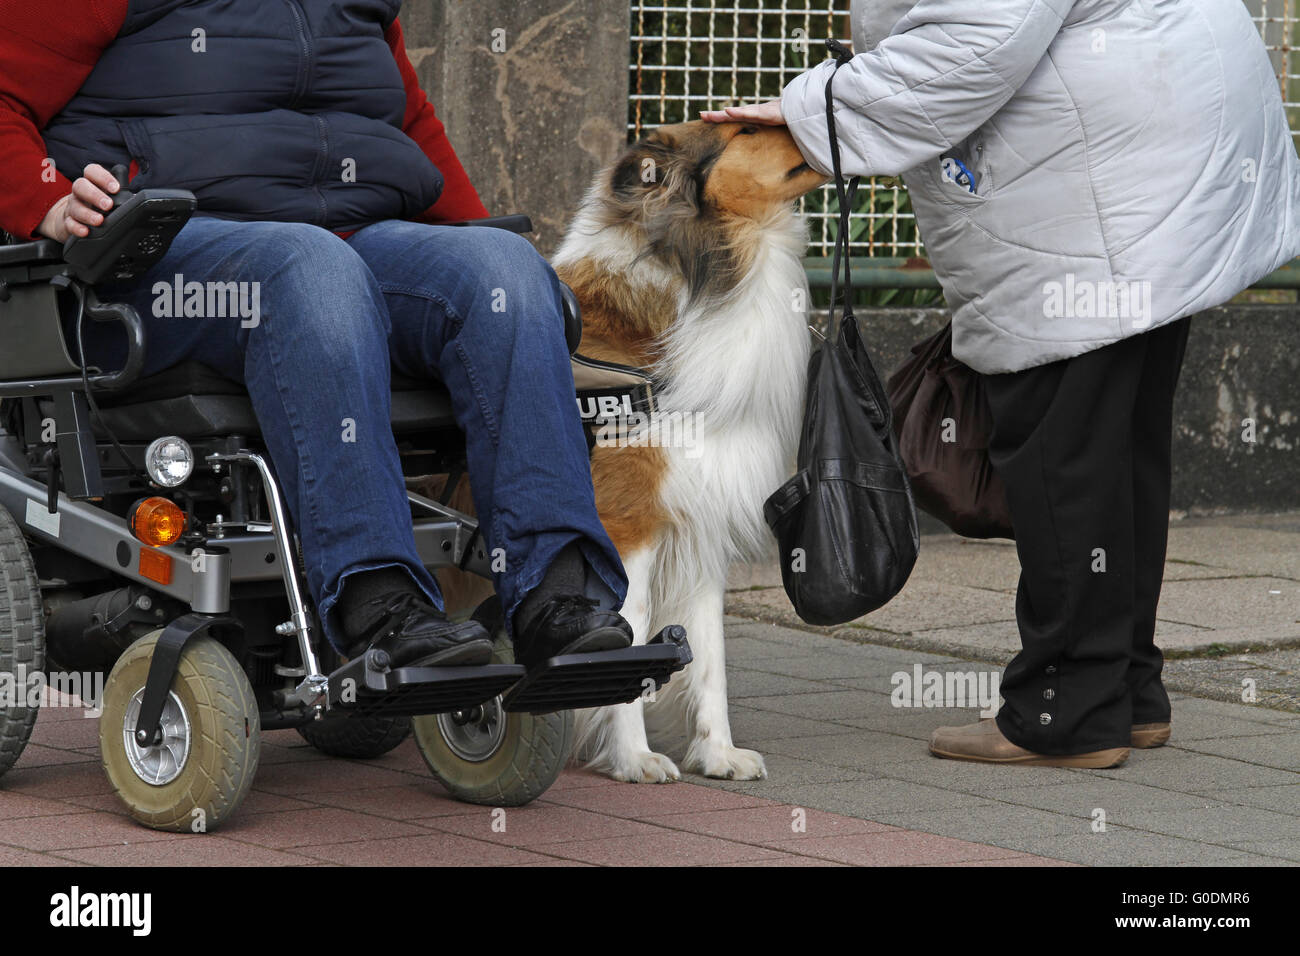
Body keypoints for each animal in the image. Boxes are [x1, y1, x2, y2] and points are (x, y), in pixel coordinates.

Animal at [553, 119, 826, 780]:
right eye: (747, 128)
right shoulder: (626, 527)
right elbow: (627, 634)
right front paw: (633, 759)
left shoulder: (699, 521)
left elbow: (708, 656)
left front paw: (719, 753)